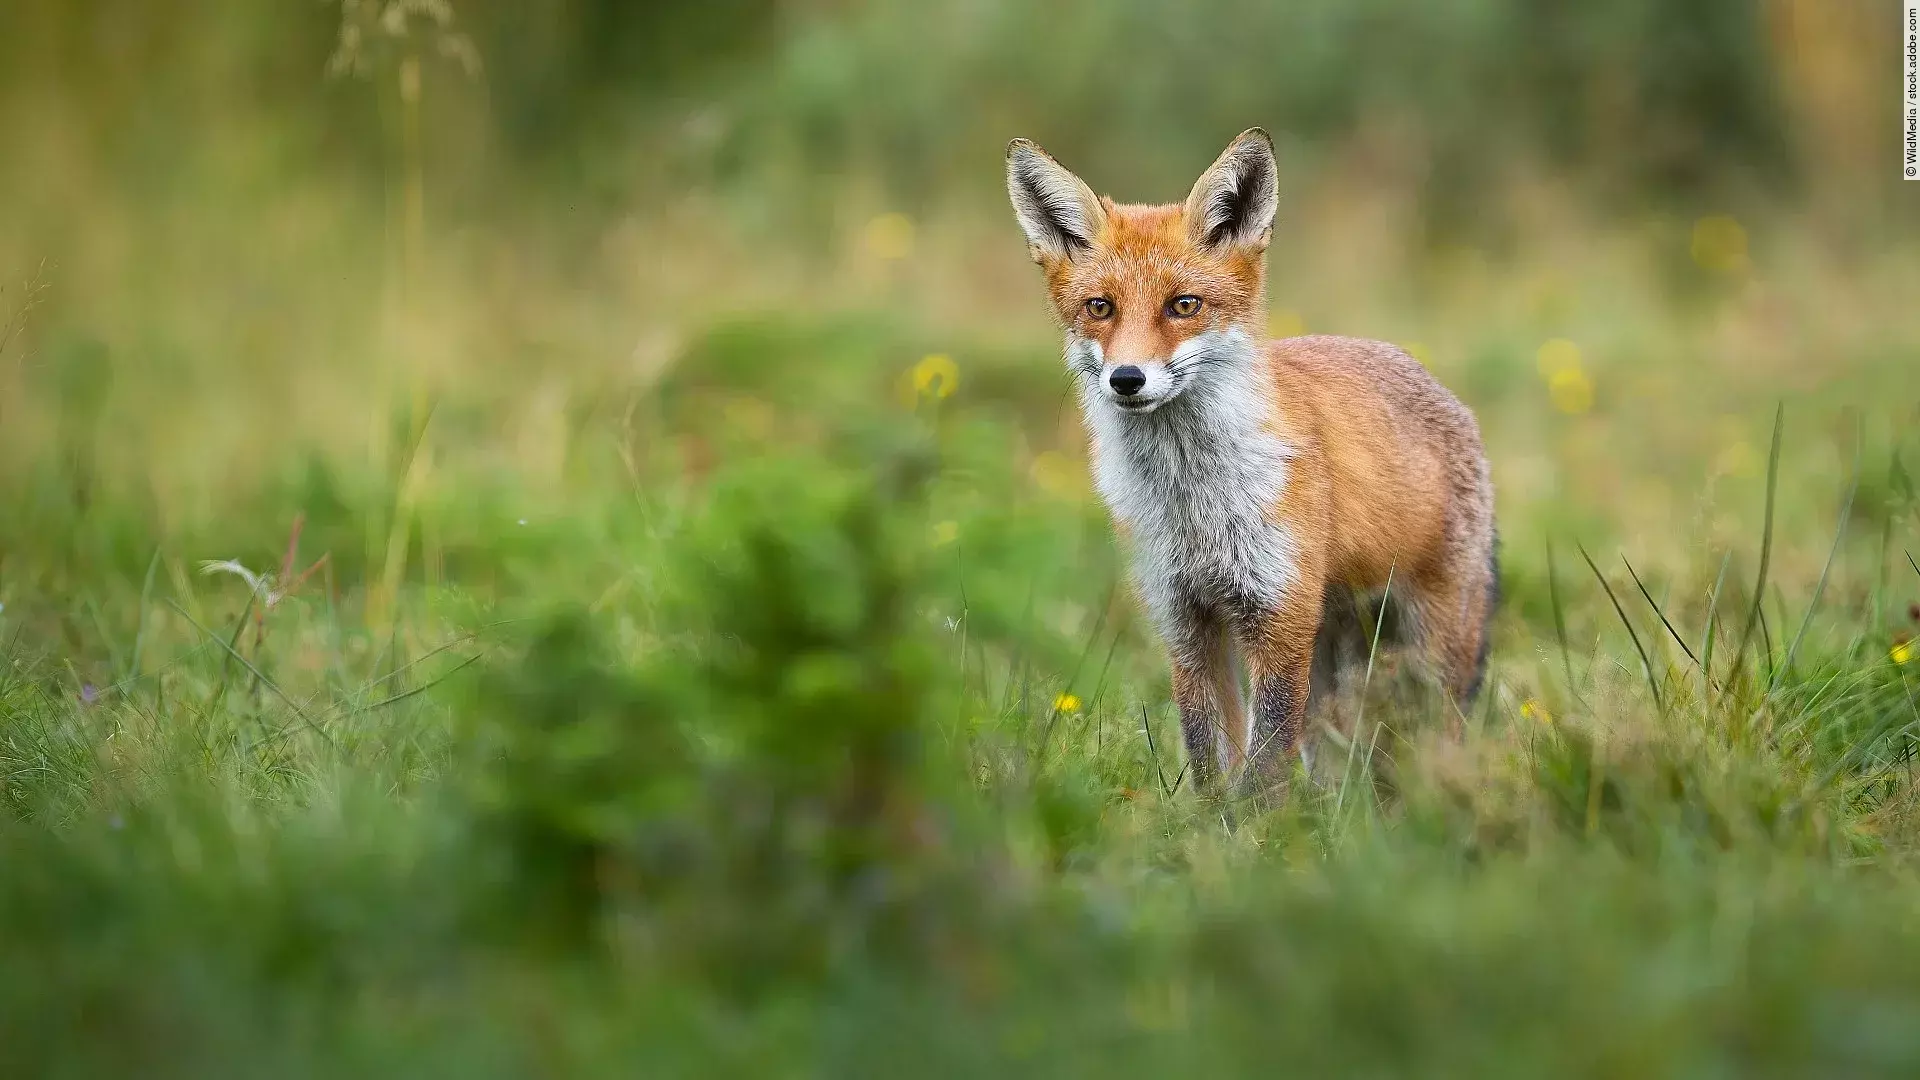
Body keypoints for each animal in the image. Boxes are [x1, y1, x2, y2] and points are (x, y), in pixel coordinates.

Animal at [1004, 128, 1498, 798]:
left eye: (1184, 305)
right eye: (1100, 307)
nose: (1126, 379)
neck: (1194, 502)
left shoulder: (1277, 611)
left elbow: (1264, 766)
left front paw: (1260, 827)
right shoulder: (1184, 615)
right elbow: (1209, 753)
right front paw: (1212, 826)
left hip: (1430, 640)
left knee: (1435, 731)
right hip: (1330, 648)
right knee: (1334, 754)